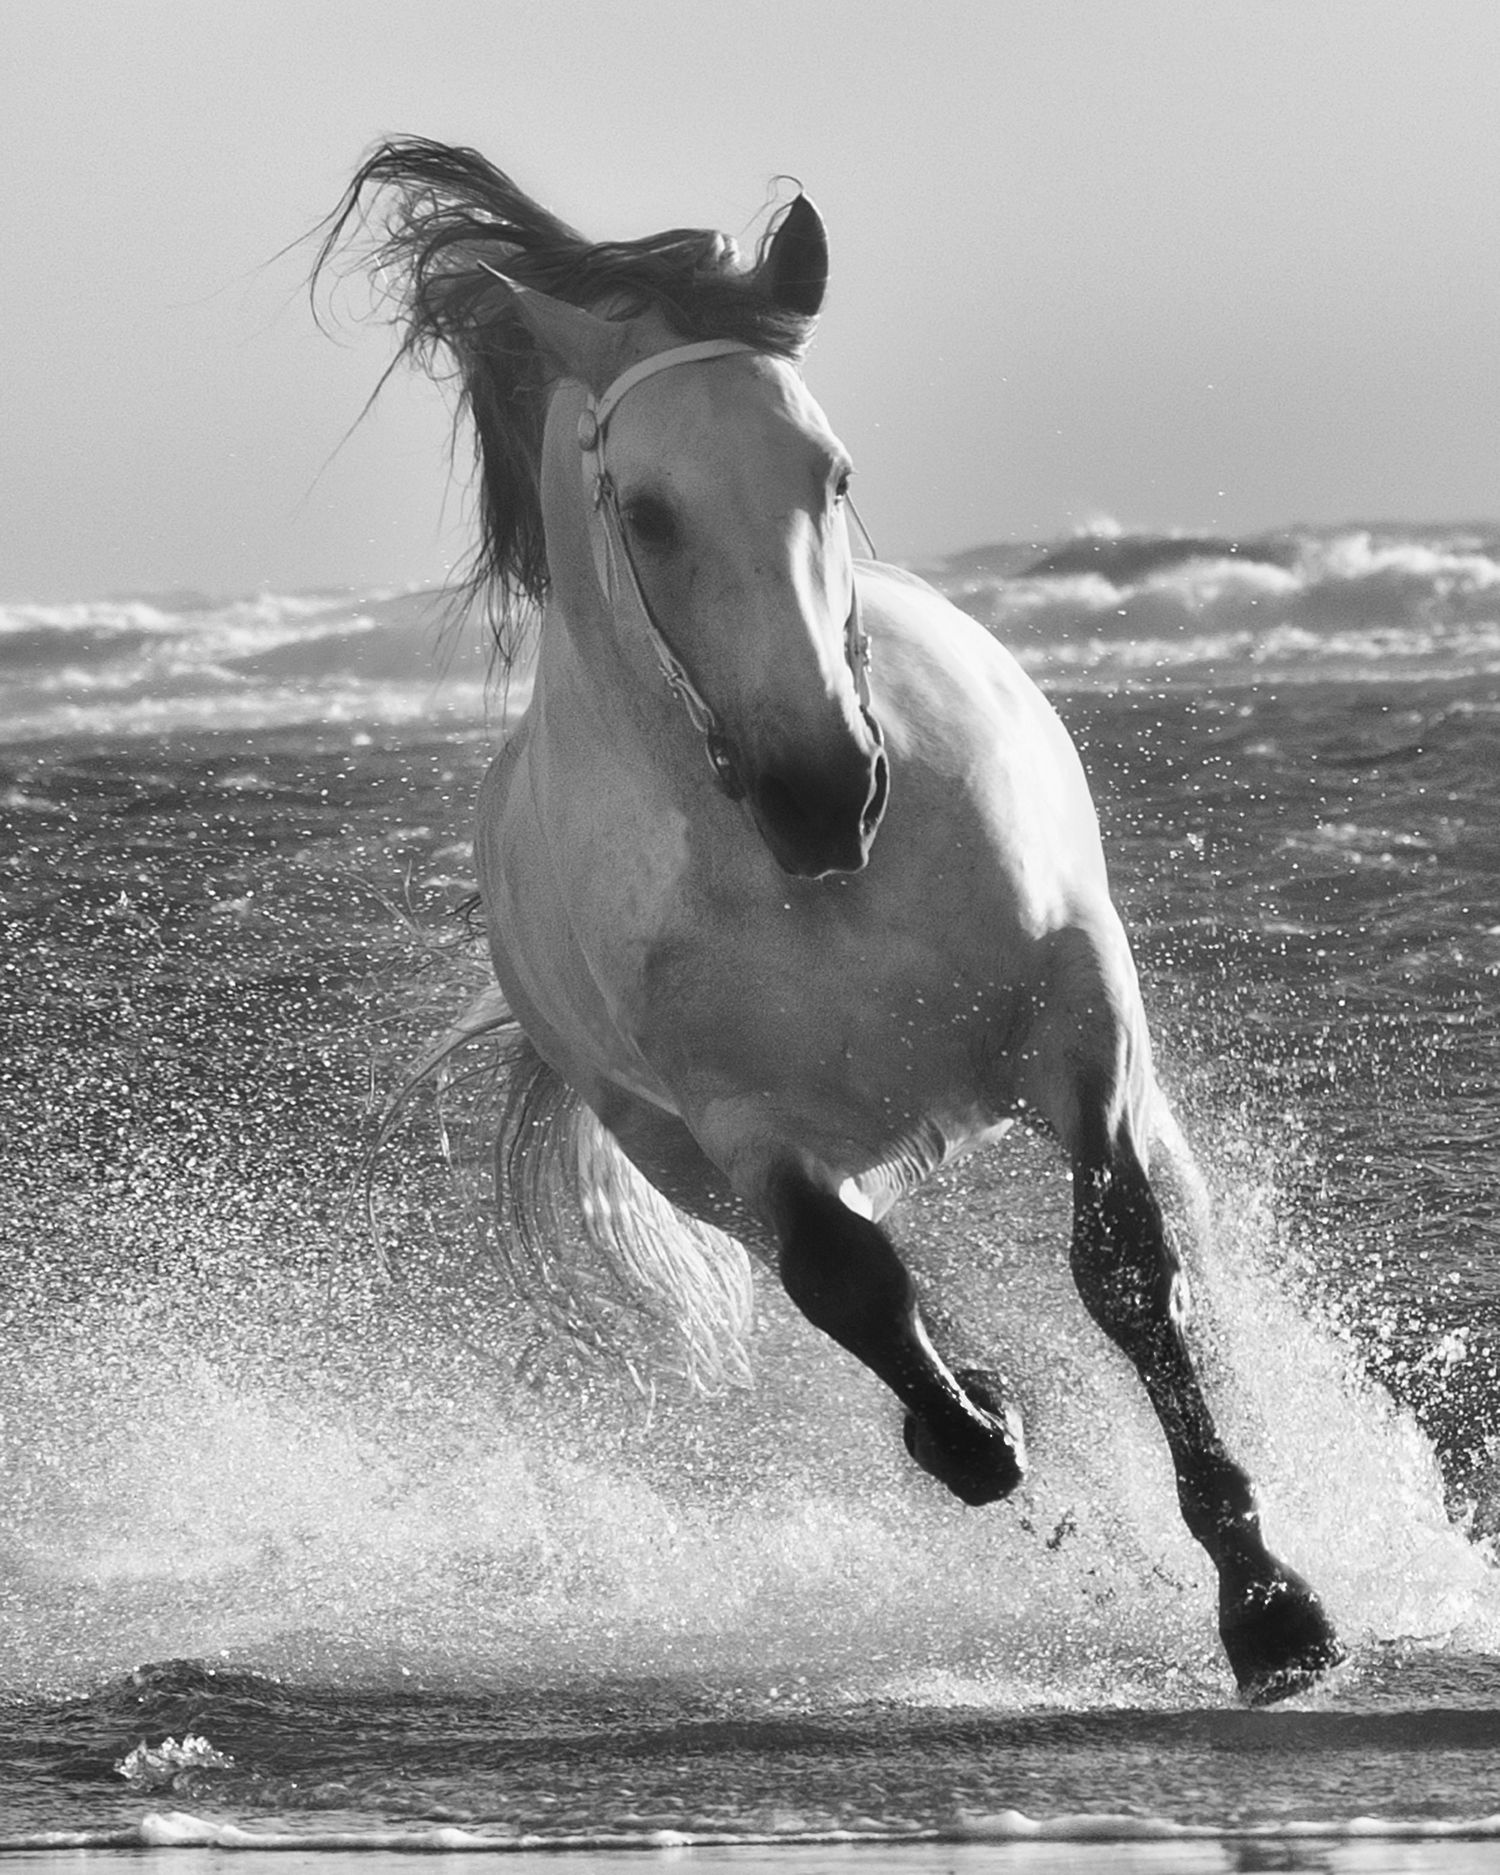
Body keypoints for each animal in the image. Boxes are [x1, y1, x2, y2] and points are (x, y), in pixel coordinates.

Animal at [322, 138, 1344, 1703]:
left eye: (832, 471)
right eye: (647, 509)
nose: (825, 787)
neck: (810, 882)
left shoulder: (1077, 1018)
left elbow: (1126, 1266)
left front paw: (1271, 1604)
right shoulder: (743, 1125)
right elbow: (849, 1282)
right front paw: (977, 1429)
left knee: (1177, 1234)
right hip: (684, 1158)